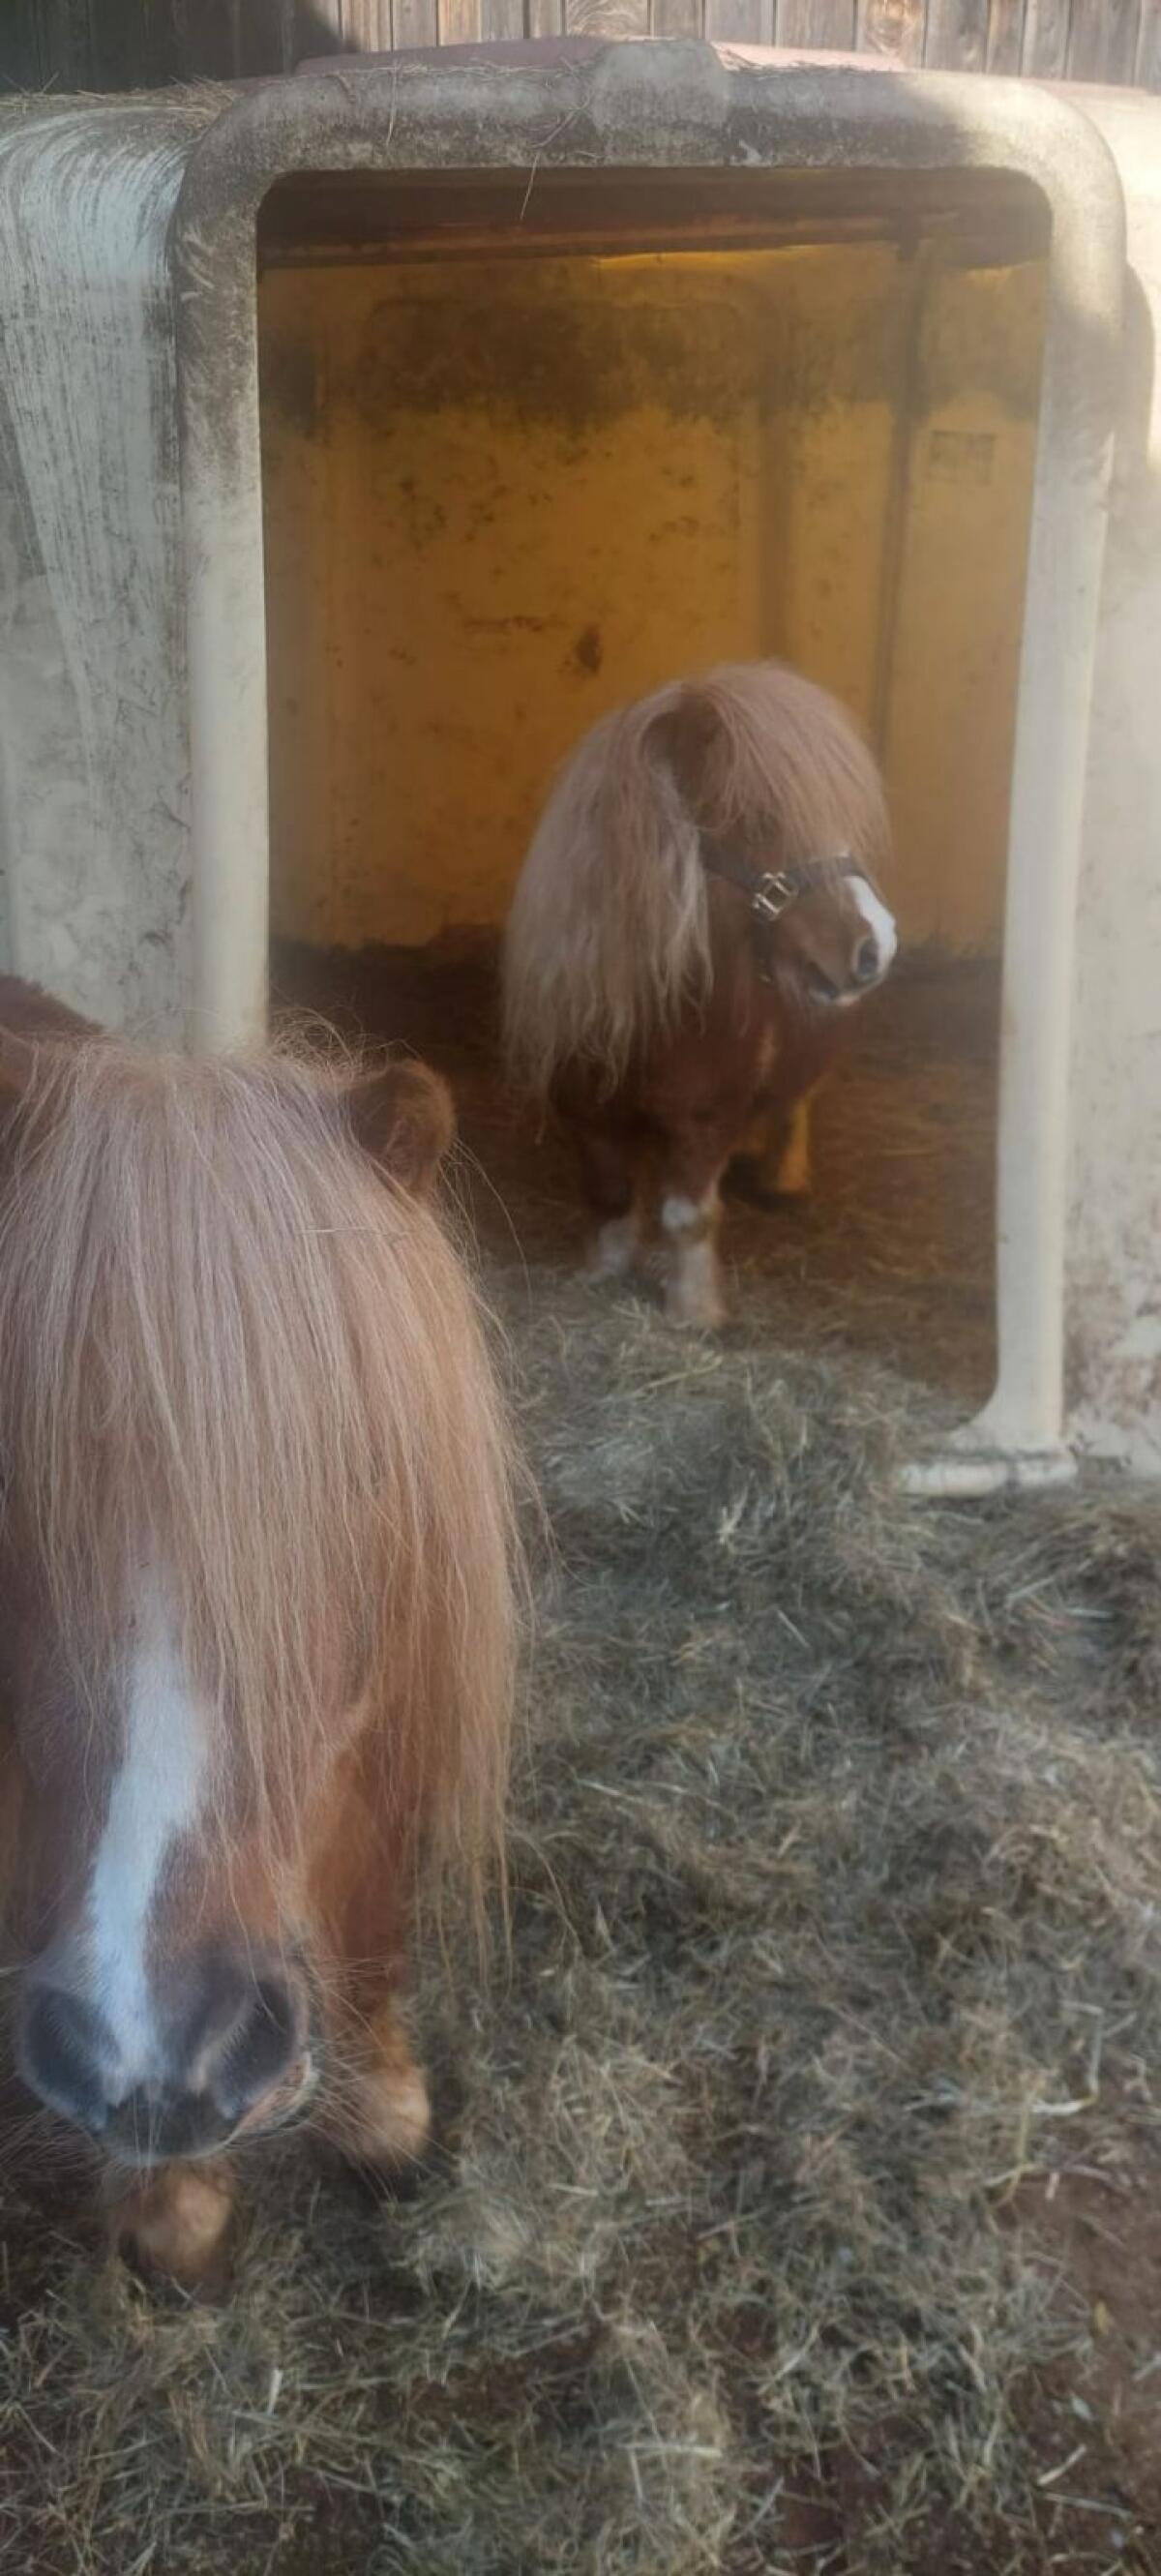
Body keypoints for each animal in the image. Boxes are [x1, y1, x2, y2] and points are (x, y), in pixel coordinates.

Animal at [502, 662, 897, 1327]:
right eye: (761, 818)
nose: (877, 944)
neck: (656, 1016)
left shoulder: (706, 1119)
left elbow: (689, 1215)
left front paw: (695, 1311)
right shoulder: (586, 1112)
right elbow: (609, 1193)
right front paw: (605, 1270)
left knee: (795, 1104)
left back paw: (781, 1180)